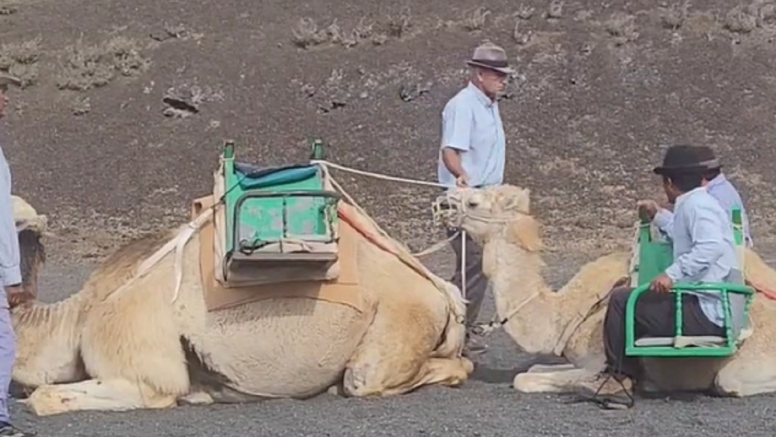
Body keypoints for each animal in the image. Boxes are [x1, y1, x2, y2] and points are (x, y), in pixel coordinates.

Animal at [9, 192, 473, 417]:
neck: (77, 317)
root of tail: (439, 291)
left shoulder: (146, 376)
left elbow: (44, 397)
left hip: (399, 322)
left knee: (376, 376)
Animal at [435, 184, 776, 399]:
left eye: (474, 202)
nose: (442, 200)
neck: (566, 313)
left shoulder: (597, 362)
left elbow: (525, 377)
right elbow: (533, 367)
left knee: (728, 383)